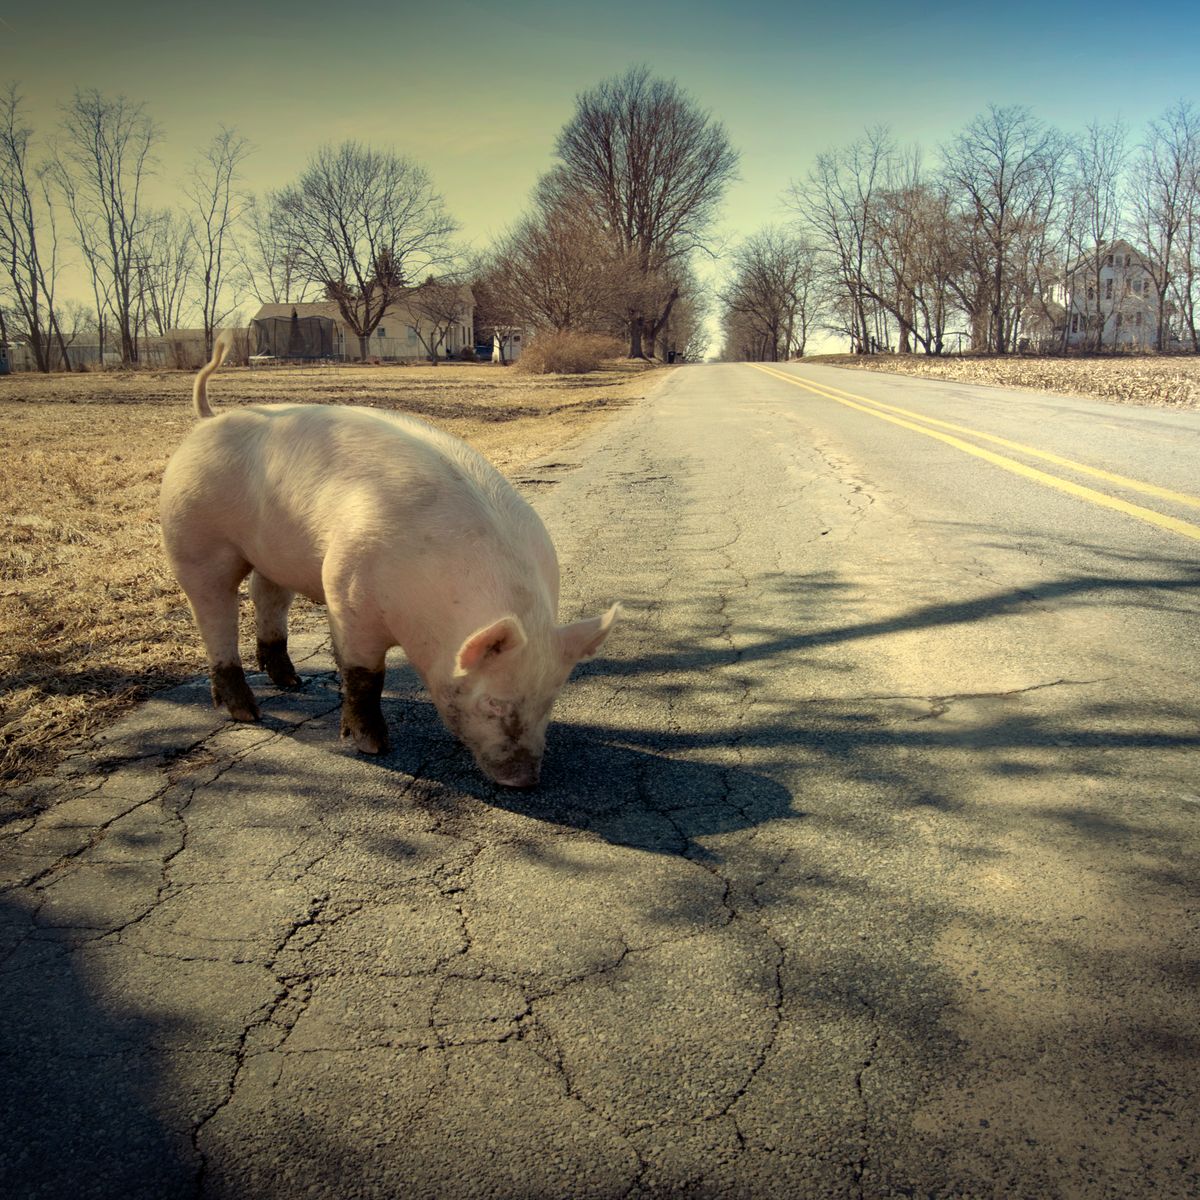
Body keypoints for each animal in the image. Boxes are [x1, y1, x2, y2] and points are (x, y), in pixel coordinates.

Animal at [159, 334, 619, 788]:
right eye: (491, 702)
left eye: (550, 699)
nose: (524, 780)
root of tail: (207, 421)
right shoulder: (347, 593)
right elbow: (364, 676)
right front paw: (373, 747)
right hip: (194, 538)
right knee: (215, 614)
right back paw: (246, 712)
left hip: (272, 550)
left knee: (267, 597)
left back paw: (292, 681)